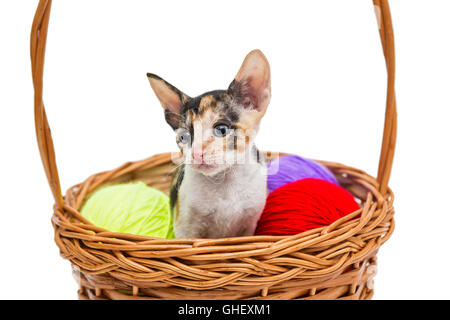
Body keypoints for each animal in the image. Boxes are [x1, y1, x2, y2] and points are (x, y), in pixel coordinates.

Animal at [149, 50, 270, 239]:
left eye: (221, 129)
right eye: (184, 137)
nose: (196, 153)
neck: (224, 181)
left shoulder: (249, 226)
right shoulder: (184, 229)